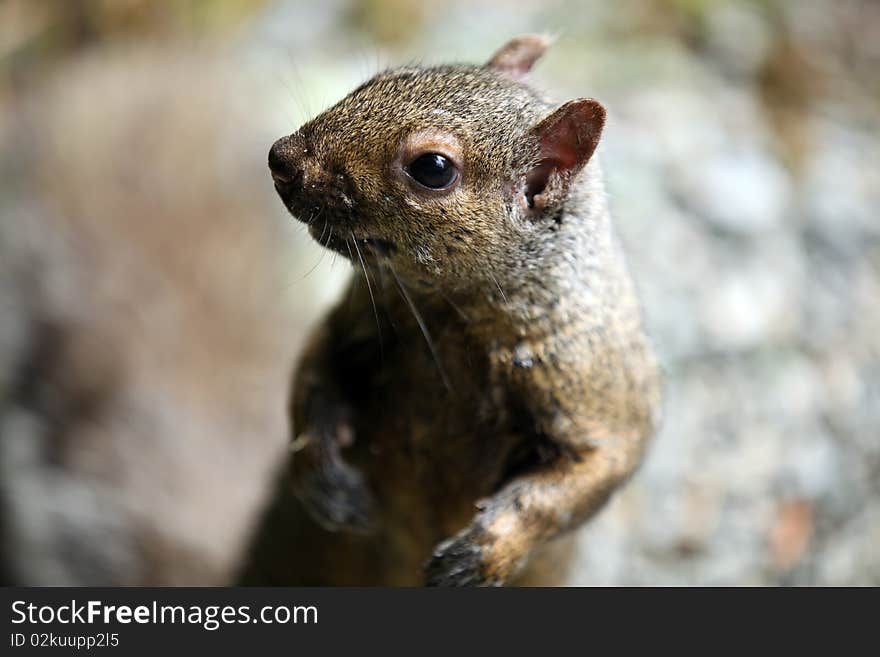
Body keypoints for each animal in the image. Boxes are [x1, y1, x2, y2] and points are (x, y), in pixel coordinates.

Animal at [242, 34, 660, 584]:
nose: (282, 157)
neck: (447, 318)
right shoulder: (348, 320)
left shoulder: (595, 385)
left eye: (432, 169)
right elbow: (312, 374)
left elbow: (590, 471)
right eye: (377, 79)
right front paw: (323, 479)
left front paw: (479, 554)